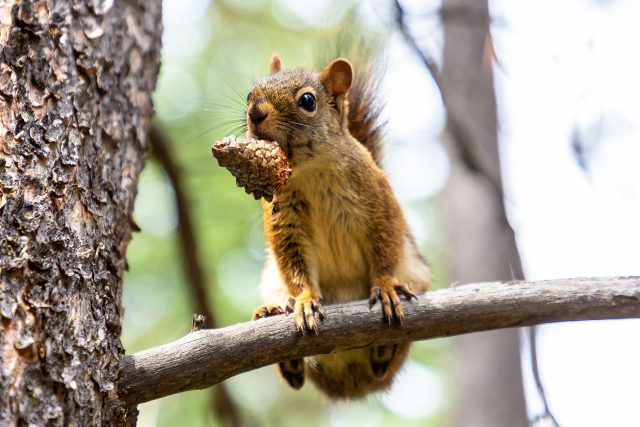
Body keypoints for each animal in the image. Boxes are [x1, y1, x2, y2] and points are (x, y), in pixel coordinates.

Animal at [248, 51, 432, 400]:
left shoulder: (379, 200)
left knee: (386, 365)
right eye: (251, 91)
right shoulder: (284, 219)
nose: (254, 112)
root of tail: (350, 384)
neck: (310, 170)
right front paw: (305, 300)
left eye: (307, 100)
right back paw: (278, 324)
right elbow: (294, 264)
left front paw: (385, 286)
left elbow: (385, 242)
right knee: (295, 377)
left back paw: (387, 348)